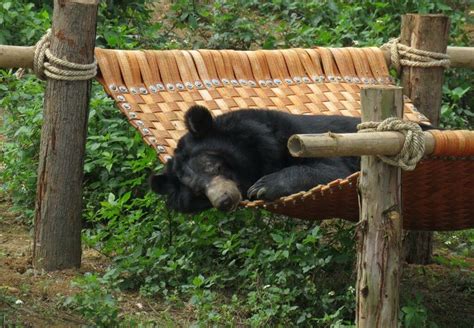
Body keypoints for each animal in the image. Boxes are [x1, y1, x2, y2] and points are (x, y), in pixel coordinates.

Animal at [150, 105, 362, 213]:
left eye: (215, 167)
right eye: (198, 192)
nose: (224, 201)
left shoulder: (307, 138)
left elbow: (331, 168)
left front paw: (262, 187)